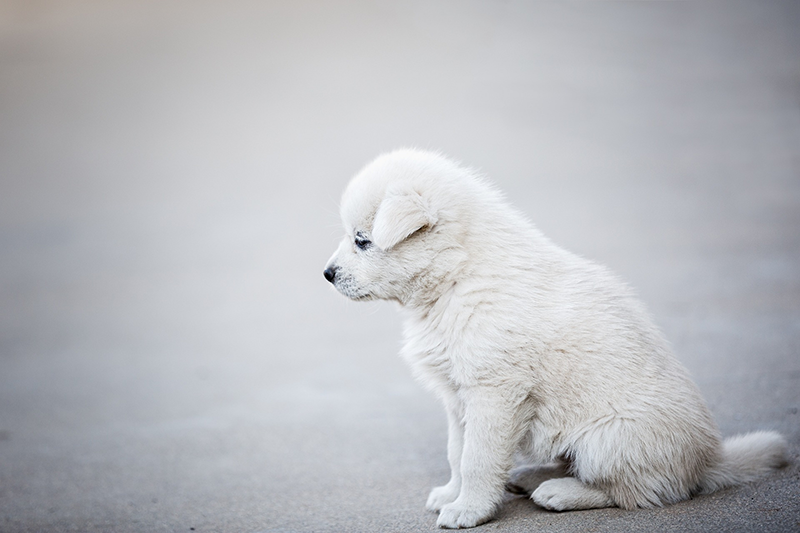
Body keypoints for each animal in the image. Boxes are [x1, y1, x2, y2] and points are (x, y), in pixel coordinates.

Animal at [322, 150, 784, 528]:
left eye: (362, 241)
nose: (326, 274)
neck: (458, 276)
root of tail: (707, 463)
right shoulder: (458, 396)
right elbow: (457, 451)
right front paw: (451, 494)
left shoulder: (494, 393)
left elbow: (477, 458)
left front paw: (468, 510)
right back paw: (531, 476)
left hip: (609, 439)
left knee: (639, 492)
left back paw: (560, 492)